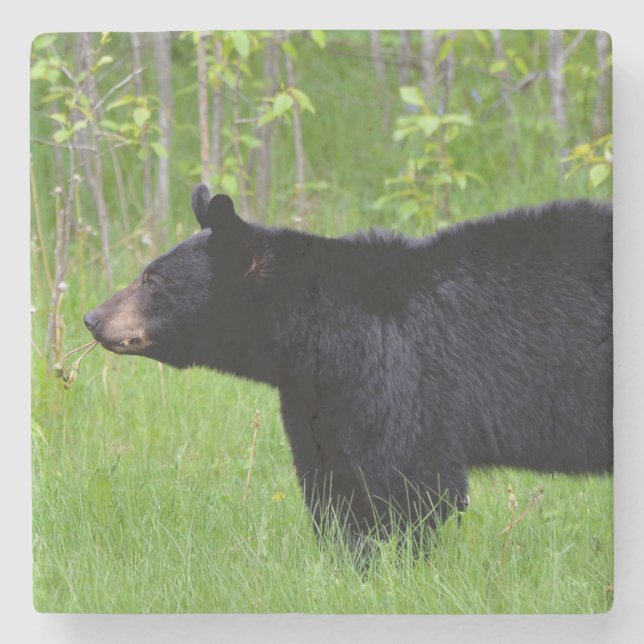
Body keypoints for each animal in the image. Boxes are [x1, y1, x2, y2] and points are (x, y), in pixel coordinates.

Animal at [84, 185, 613, 544]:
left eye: (152, 282)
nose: (93, 317)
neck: (313, 338)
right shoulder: (316, 395)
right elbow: (329, 477)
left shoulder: (400, 381)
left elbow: (406, 482)